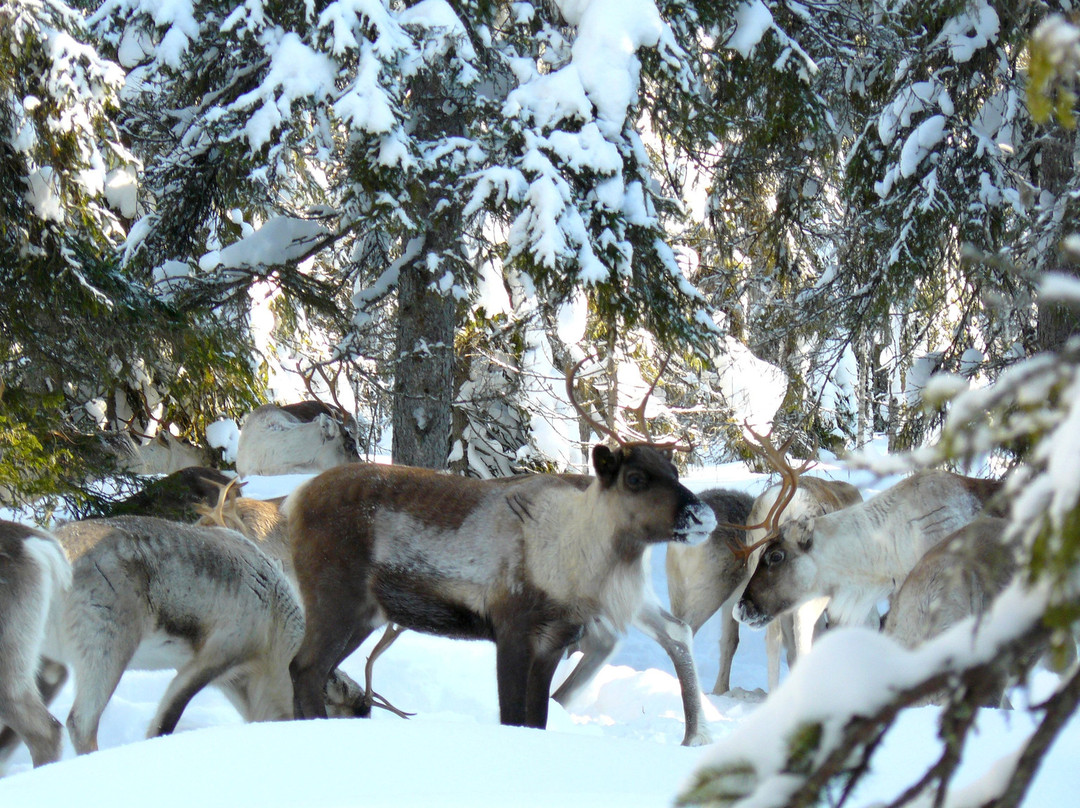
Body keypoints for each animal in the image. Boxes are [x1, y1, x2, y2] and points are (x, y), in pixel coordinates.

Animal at [25, 515, 305, 755]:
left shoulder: (231, 680)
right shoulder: (219, 653)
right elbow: (165, 719)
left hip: (44, 659)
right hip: (107, 646)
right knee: (80, 722)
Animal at [285, 356, 716, 735]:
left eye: (674, 471)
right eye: (635, 478)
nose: (703, 516)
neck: (574, 560)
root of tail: (295, 499)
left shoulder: (555, 640)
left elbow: (536, 720)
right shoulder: (512, 628)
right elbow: (512, 717)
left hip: (366, 614)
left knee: (307, 669)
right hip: (336, 598)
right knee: (305, 669)